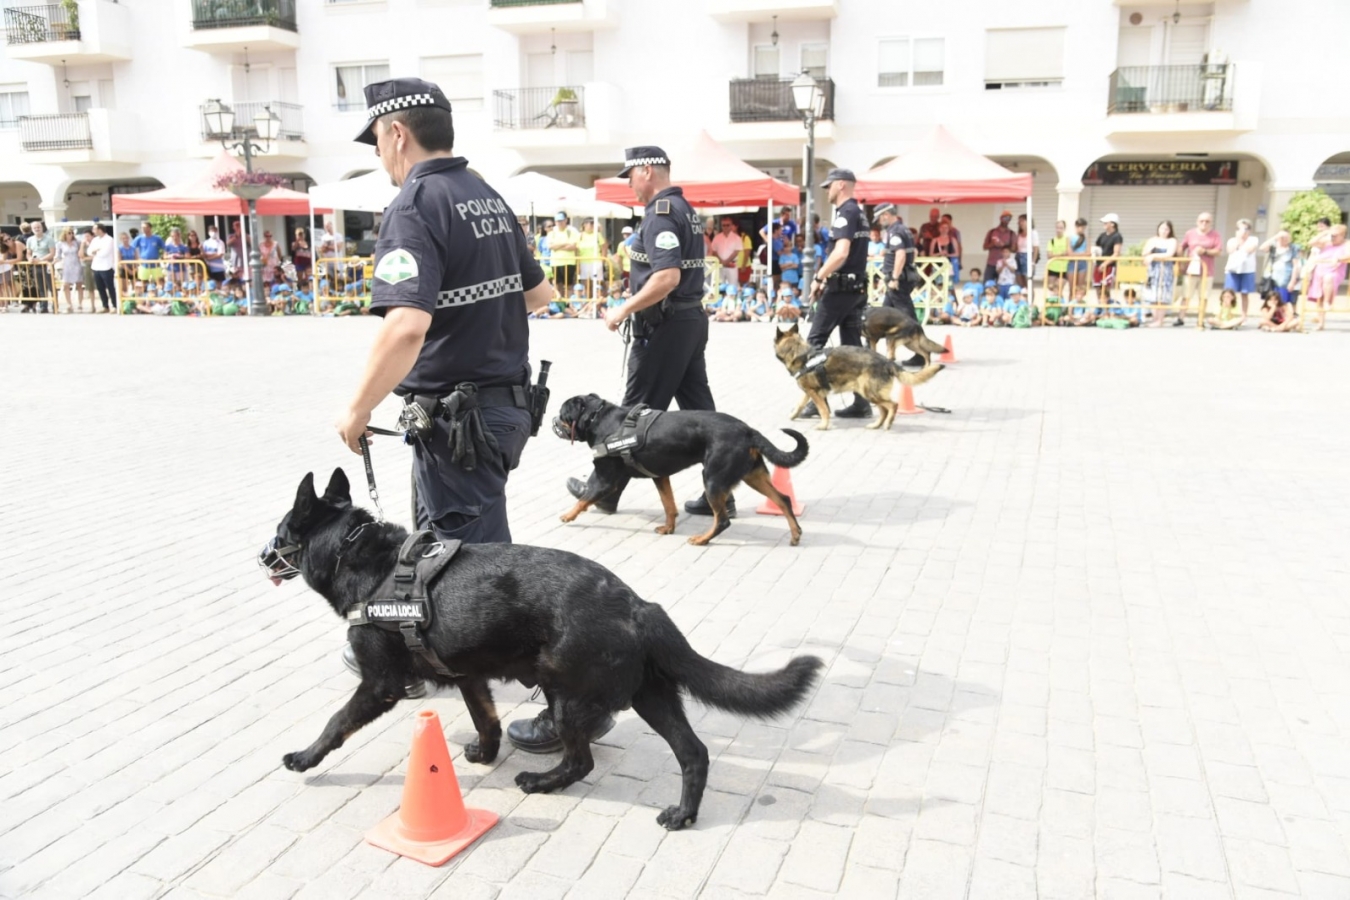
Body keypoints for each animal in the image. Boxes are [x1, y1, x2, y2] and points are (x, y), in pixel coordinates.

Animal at [257, 472, 815, 831]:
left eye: (281, 530)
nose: (260, 555)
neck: (358, 554)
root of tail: (638, 605)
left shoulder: (379, 685)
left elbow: (336, 723)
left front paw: (305, 758)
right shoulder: (470, 678)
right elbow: (485, 719)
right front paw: (484, 753)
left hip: (566, 695)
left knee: (581, 761)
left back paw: (542, 782)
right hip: (650, 695)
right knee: (692, 752)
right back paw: (683, 814)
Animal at [553, 396, 804, 550]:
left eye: (562, 413)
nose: (553, 419)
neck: (597, 418)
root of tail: (748, 430)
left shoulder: (605, 478)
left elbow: (584, 498)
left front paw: (568, 515)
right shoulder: (660, 476)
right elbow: (669, 505)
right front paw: (669, 527)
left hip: (713, 479)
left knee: (722, 520)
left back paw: (702, 539)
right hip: (753, 475)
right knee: (783, 499)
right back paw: (795, 533)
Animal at [777, 323, 945, 431]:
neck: (799, 353)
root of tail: (886, 361)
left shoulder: (814, 393)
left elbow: (823, 410)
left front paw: (823, 426)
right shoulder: (809, 392)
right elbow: (800, 404)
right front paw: (794, 415)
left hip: (870, 392)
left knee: (893, 406)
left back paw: (887, 424)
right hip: (871, 393)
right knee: (884, 410)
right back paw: (876, 425)